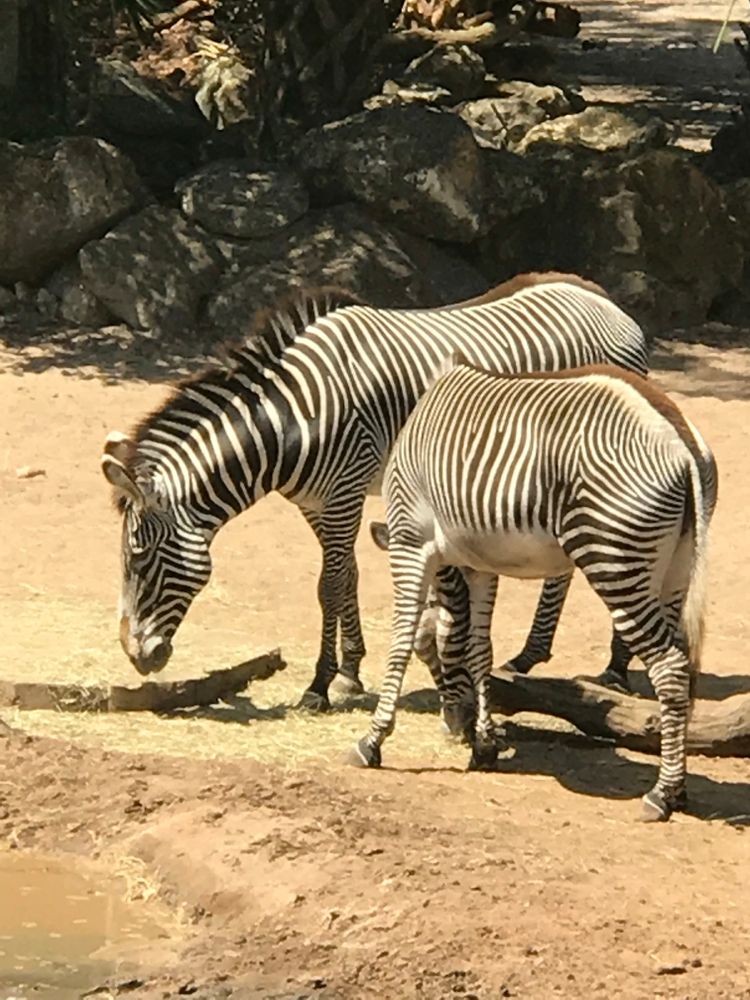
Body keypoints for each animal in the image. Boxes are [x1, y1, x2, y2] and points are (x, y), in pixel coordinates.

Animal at [100, 275, 649, 712]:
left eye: (139, 558)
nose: (136, 657)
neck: (288, 423)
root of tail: (605, 299)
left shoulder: (345, 489)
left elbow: (327, 586)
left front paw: (320, 684)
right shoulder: (317, 503)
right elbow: (347, 578)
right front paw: (350, 672)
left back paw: (613, 667)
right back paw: (532, 656)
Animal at [348, 359, 714, 822]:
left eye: (428, 654)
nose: (452, 727)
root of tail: (678, 436)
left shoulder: (411, 541)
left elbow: (401, 641)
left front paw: (372, 740)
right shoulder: (477, 563)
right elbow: (478, 648)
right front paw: (485, 746)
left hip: (615, 559)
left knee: (669, 666)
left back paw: (661, 794)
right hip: (674, 570)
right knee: (684, 665)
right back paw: (678, 788)